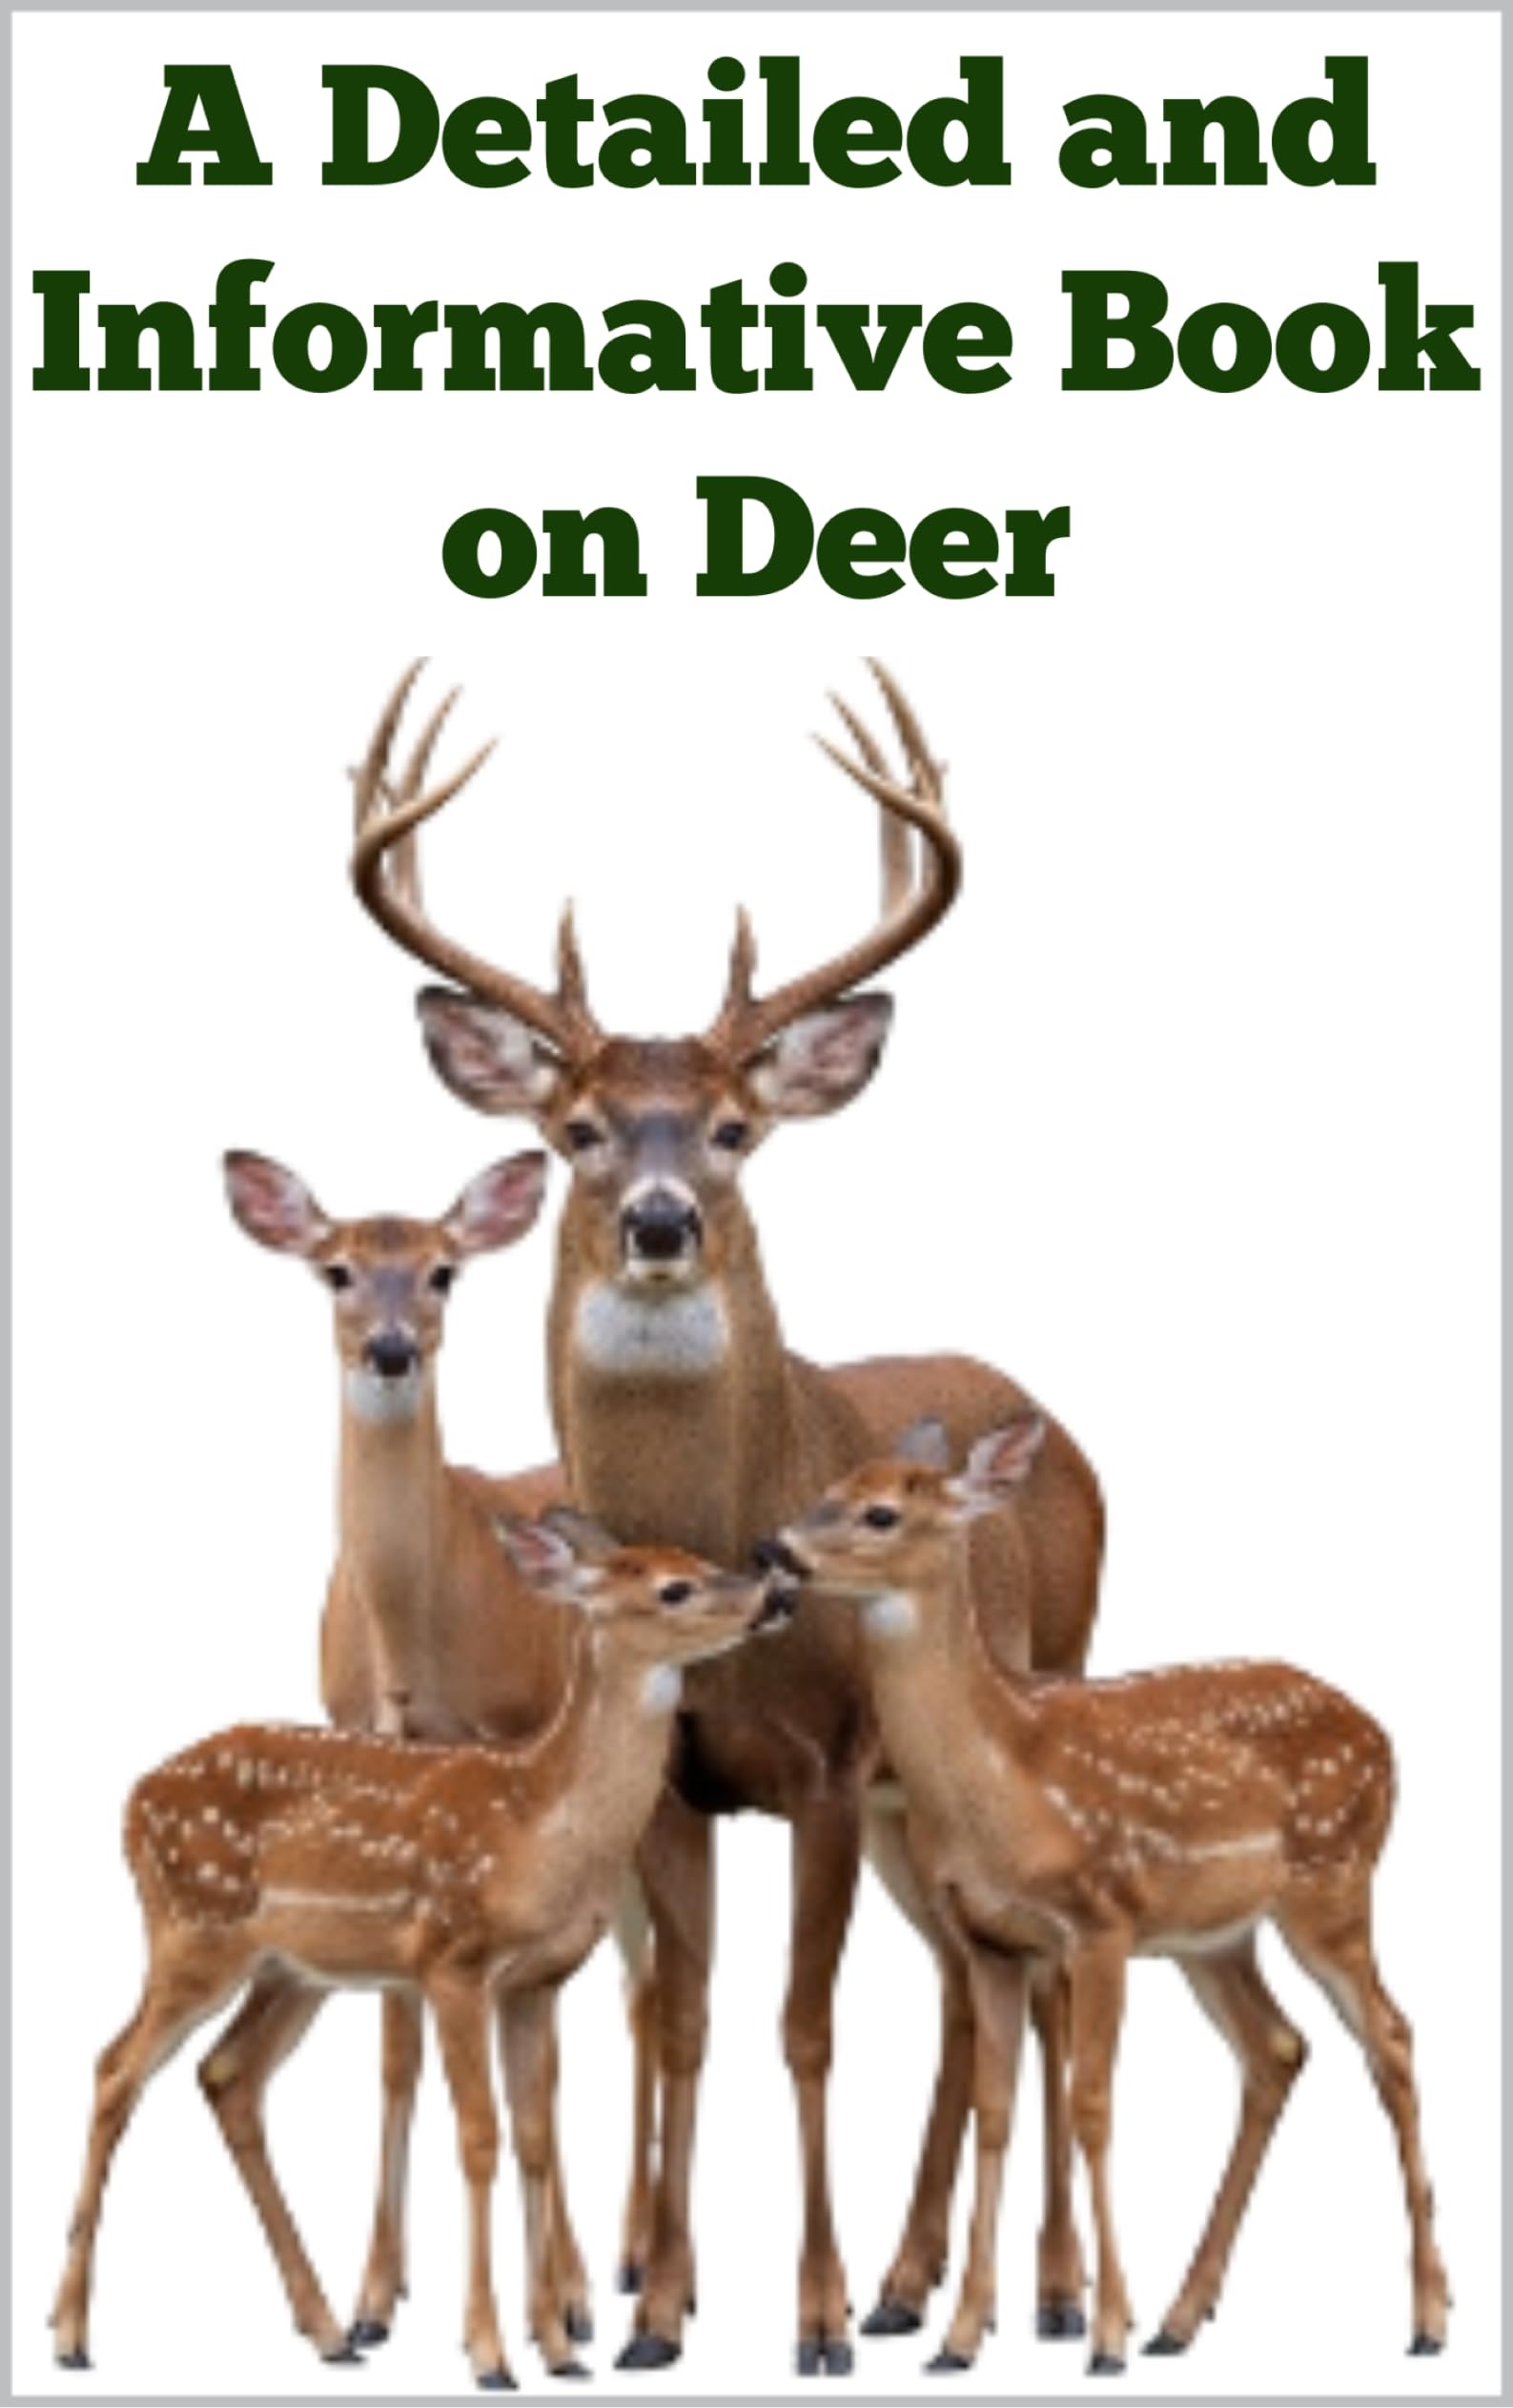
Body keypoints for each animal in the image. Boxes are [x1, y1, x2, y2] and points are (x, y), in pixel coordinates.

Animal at [50, 1518, 800, 2385]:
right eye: (673, 1588)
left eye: (700, 1561)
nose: (775, 1589)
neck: (537, 1823)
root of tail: (132, 1798)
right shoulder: (451, 1959)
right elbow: (477, 2136)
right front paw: (489, 2353)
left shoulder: (535, 1980)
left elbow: (534, 2136)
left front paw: (558, 2349)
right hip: (192, 1930)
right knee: (115, 2067)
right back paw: (70, 2333)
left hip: (290, 1970)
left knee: (227, 2074)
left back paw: (328, 2331)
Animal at [217, 1149, 592, 2352]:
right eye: (335, 1268)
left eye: (442, 1271)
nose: (390, 1347)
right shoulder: (367, 1761)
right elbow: (395, 2047)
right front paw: (375, 2294)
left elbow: (535, 2064)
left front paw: (543, 2304)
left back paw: (597, 2280)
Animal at [345, 661, 1107, 2373]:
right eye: (574, 1130)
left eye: (735, 1130)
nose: (656, 1219)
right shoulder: (681, 1785)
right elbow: (684, 2021)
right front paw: (656, 2312)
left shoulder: (823, 1766)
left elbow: (804, 2027)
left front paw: (810, 2316)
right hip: (911, 1805)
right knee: (962, 1983)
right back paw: (920, 2280)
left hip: (1033, 1689)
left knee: (1006, 1981)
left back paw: (1014, 2289)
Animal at [771, 1419, 1451, 2374]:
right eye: (824, 1490)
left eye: (879, 1512)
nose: (776, 1549)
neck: (999, 1776)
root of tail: (1384, 1736)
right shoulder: (990, 1937)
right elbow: (995, 2110)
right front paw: (959, 2337)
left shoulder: (1100, 1920)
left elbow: (1092, 2104)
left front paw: (1102, 2333)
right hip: (1215, 1937)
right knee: (1276, 2047)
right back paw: (1180, 2316)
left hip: (1334, 1881)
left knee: (1389, 2035)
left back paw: (1426, 2316)